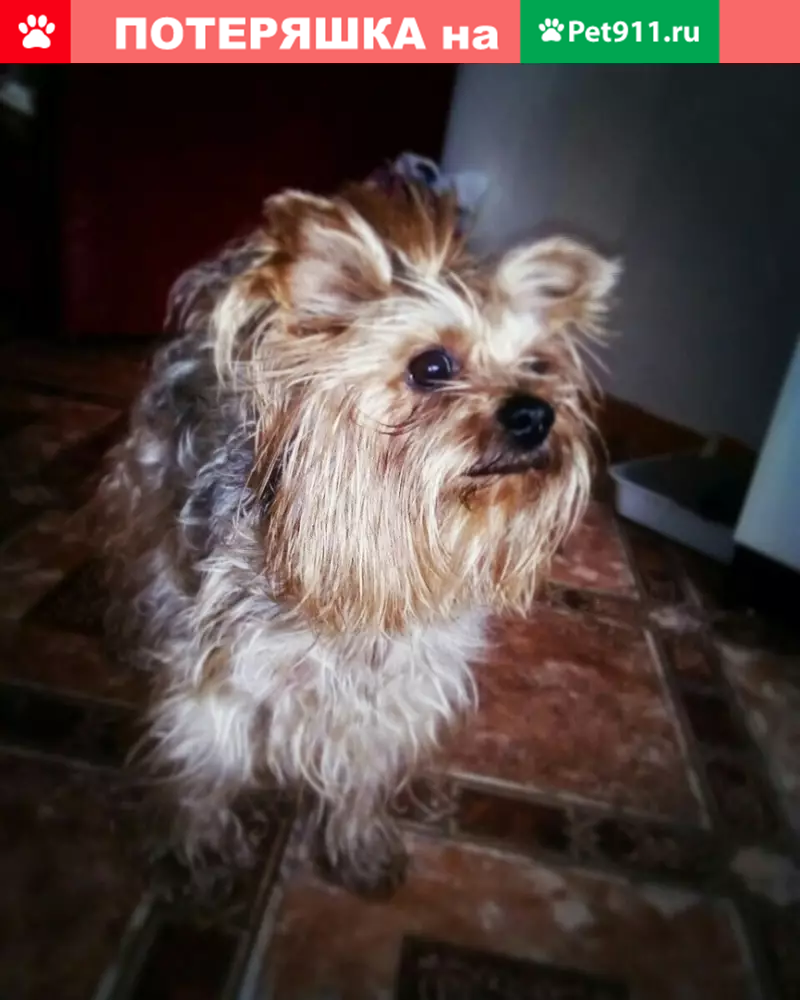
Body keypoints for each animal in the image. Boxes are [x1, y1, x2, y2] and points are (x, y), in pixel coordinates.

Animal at [98, 178, 620, 898]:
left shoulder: (398, 688)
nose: (535, 414)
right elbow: (208, 760)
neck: (384, 554)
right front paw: (201, 847)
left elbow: (363, 770)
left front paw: (356, 843)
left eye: (539, 366)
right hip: (150, 489)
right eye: (432, 365)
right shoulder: (222, 674)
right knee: (142, 560)